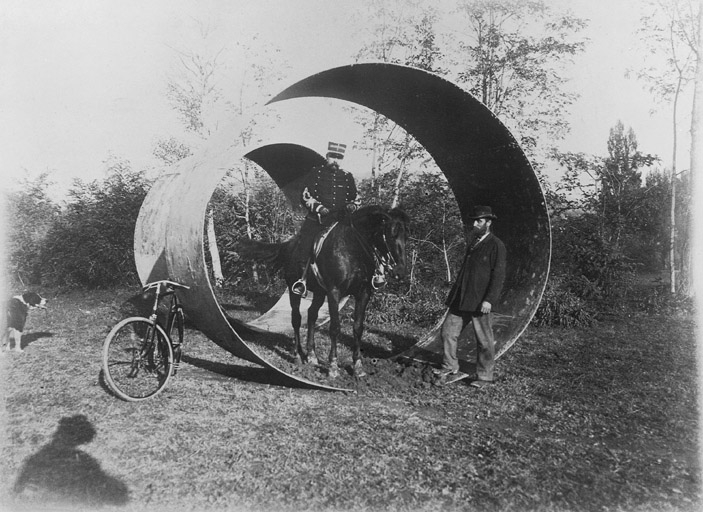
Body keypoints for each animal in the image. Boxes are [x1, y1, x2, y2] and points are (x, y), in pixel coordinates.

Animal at [239, 206, 410, 378]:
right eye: (391, 234)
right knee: (296, 319)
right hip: (295, 291)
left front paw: (357, 367)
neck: (351, 248)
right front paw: (333, 366)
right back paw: (298, 355)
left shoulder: (363, 294)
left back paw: (312, 355)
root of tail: (289, 246)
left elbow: (358, 328)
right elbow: (335, 328)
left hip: (320, 293)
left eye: (405, 236)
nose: (400, 271)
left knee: (311, 315)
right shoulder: (334, 292)